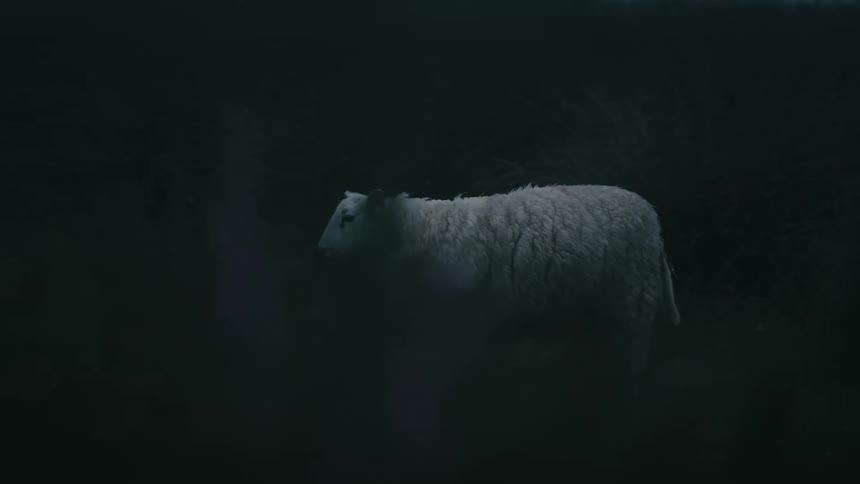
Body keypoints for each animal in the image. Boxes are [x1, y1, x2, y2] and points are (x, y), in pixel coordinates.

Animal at [317, 184, 680, 376]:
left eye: (348, 218)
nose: (321, 250)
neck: (420, 232)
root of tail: (653, 218)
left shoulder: (463, 317)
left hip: (635, 289)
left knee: (638, 340)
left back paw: (630, 377)